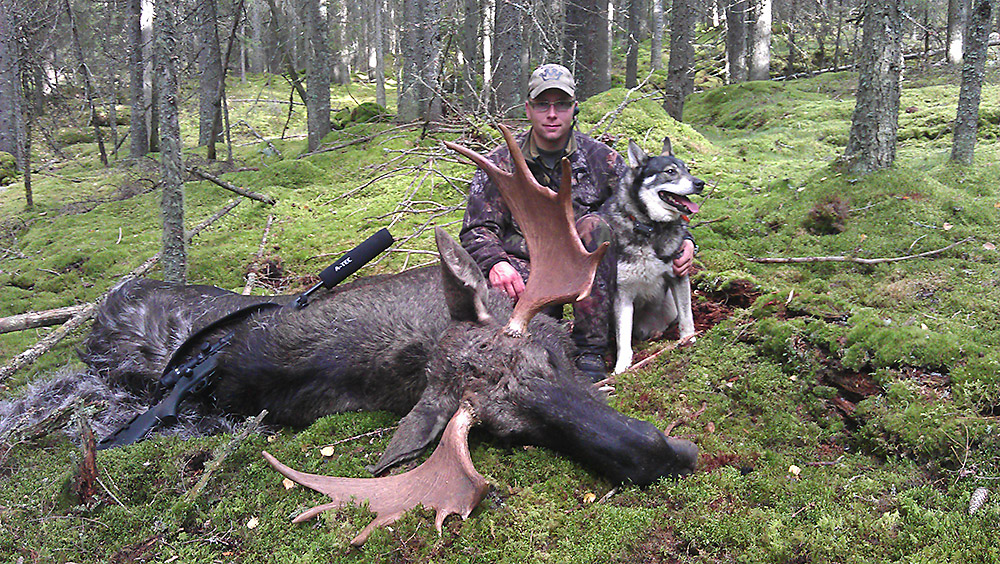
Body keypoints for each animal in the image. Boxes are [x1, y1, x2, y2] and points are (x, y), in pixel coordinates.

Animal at [600, 137, 704, 374]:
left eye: (688, 170)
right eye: (670, 171)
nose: (700, 183)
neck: (650, 227)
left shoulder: (678, 277)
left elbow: (687, 317)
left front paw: (689, 340)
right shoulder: (622, 295)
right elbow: (623, 338)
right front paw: (621, 366)